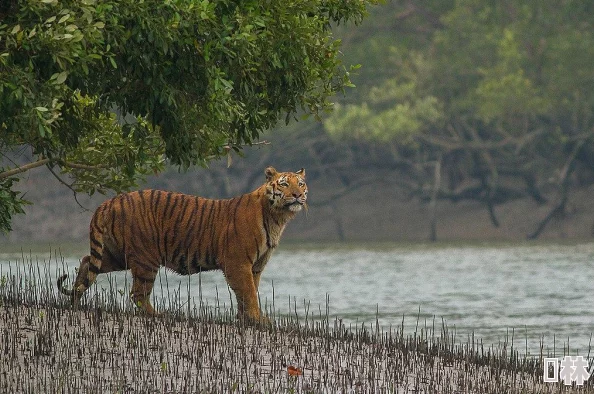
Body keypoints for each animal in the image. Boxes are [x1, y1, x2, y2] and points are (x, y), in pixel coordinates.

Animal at [56, 166, 308, 324]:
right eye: (284, 184)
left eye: (301, 184)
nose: (297, 195)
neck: (277, 217)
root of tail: (108, 202)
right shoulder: (238, 262)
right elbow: (247, 292)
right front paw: (257, 319)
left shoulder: (255, 266)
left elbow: (249, 292)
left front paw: (247, 319)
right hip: (146, 258)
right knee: (137, 293)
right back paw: (158, 315)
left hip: (117, 255)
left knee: (87, 262)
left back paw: (75, 300)